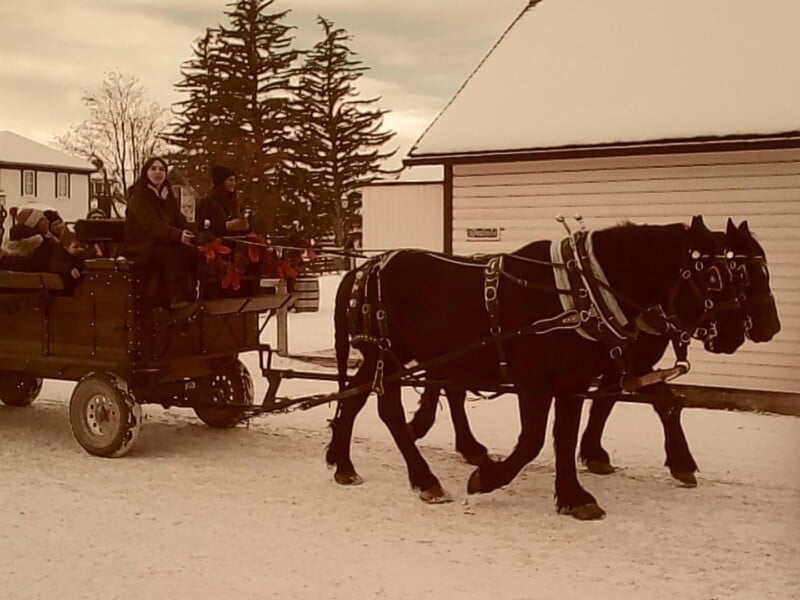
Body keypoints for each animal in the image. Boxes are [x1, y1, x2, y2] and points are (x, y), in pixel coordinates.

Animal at [326, 217, 747, 519]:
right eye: (714, 276)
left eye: (739, 274)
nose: (735, 334)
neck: (578, 291)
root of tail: (362, 269)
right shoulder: (534, 383)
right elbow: (531, 441)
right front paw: (486, 478)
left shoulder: (571, 382)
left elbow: (564, 436)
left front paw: (573, 496)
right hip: (387, 355)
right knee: (388, 410)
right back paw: (425, 479)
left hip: (381, 359)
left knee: (354, 400)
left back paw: (343, 463)